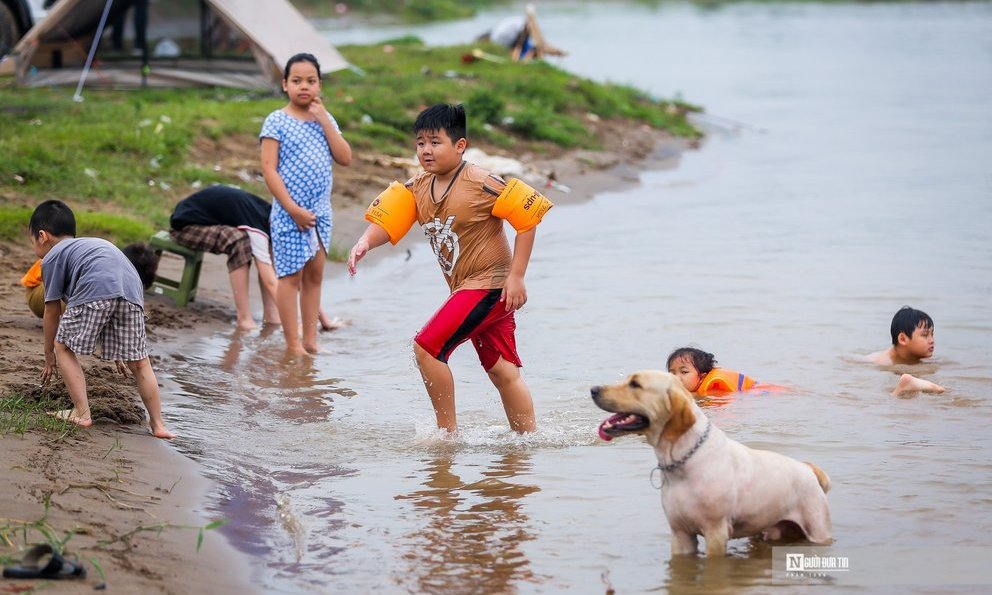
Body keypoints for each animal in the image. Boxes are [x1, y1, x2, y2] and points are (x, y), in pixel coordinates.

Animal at [592, 370, 832, 556]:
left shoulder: (715, 531)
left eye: (635, 384)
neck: (682, 461)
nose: (594, 389)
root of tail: (809, 469)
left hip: (818, 528)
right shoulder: (680, 533)